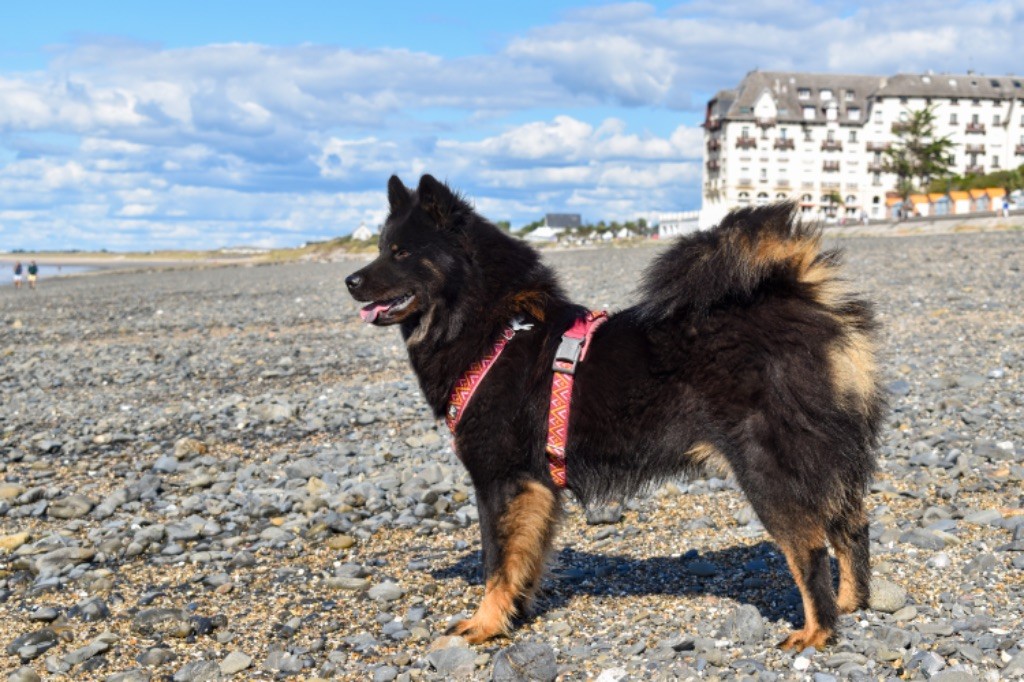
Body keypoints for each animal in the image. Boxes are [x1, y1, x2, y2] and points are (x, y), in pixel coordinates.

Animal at [348, 173, 884, 647]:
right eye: (381, 247)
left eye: (401, 253)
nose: (351, 280)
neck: (495, 328)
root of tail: (803, 296)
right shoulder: (537, 486)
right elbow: (524, 558)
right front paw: (516, 613)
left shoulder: (501, 477)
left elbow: (495, 561)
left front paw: (485, 624)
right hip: (830, 460)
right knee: (853, 528)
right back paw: (851, 604)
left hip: (768, 468)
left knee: (809, 547)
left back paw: (818, 632)